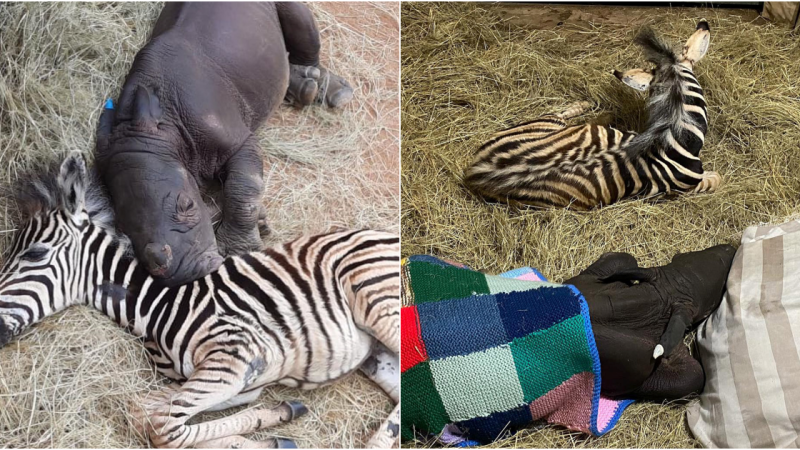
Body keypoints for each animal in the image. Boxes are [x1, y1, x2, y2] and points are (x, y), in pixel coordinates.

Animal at [0, 154, 400, 446]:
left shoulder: (236, 359)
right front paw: (277, 421)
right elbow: (143, 411)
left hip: (376, 298)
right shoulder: (243, 381)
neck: (158, 307)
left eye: (34, 254)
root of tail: (386, 236)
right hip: (377, 356)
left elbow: (164, 428)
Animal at [97, 1, 354, 286]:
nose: (183, 273)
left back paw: (327, 90)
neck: (164, 130)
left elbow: (243, 188)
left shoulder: (238, 141)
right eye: (123, 230)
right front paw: (259, 223)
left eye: (187, 205)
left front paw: (239, 250)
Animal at [462, 21, 720, 211]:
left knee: (569, 116)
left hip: (541, 126)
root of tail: (477, 172)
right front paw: (716, 176)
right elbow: (714, 179)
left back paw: (598, 112)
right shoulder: (686, 186)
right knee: (562, 113)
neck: (672, 132)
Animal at [564, 244, 736, 400]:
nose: (731, 248)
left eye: (682, 255)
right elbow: (693, 376)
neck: (661, 294)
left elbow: (622, 258)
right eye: (721, 289)